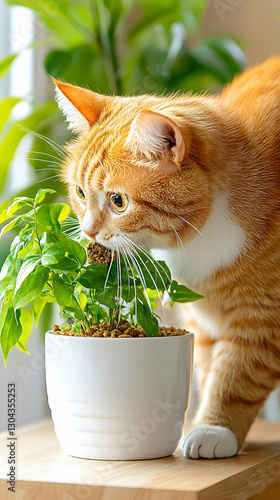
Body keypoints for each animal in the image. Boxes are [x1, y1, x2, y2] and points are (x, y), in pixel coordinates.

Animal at [52, 56, 280, 458]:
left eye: (118, 201)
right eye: (80, 192)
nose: (89, 231)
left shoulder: (264, 317)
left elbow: (237, 375)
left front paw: (216, 429)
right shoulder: (203, 321)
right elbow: (209, 369)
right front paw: (207, 421)